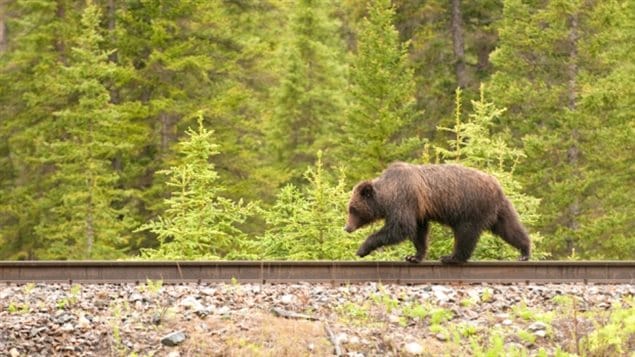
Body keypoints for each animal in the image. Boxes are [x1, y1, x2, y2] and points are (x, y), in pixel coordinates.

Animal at [342, 163, 532, 262]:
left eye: (353, 209)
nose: (347, 228)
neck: (387, 195)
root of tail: (497, 186)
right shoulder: (419, 210)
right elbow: (419, 232)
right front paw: (414, 256)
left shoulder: (404, 200)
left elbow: (400, 228)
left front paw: (362, 249)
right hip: (499, 209)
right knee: (510, 228)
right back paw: (524, 251)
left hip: (470, 208)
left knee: (466, 234)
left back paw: (451, 257)